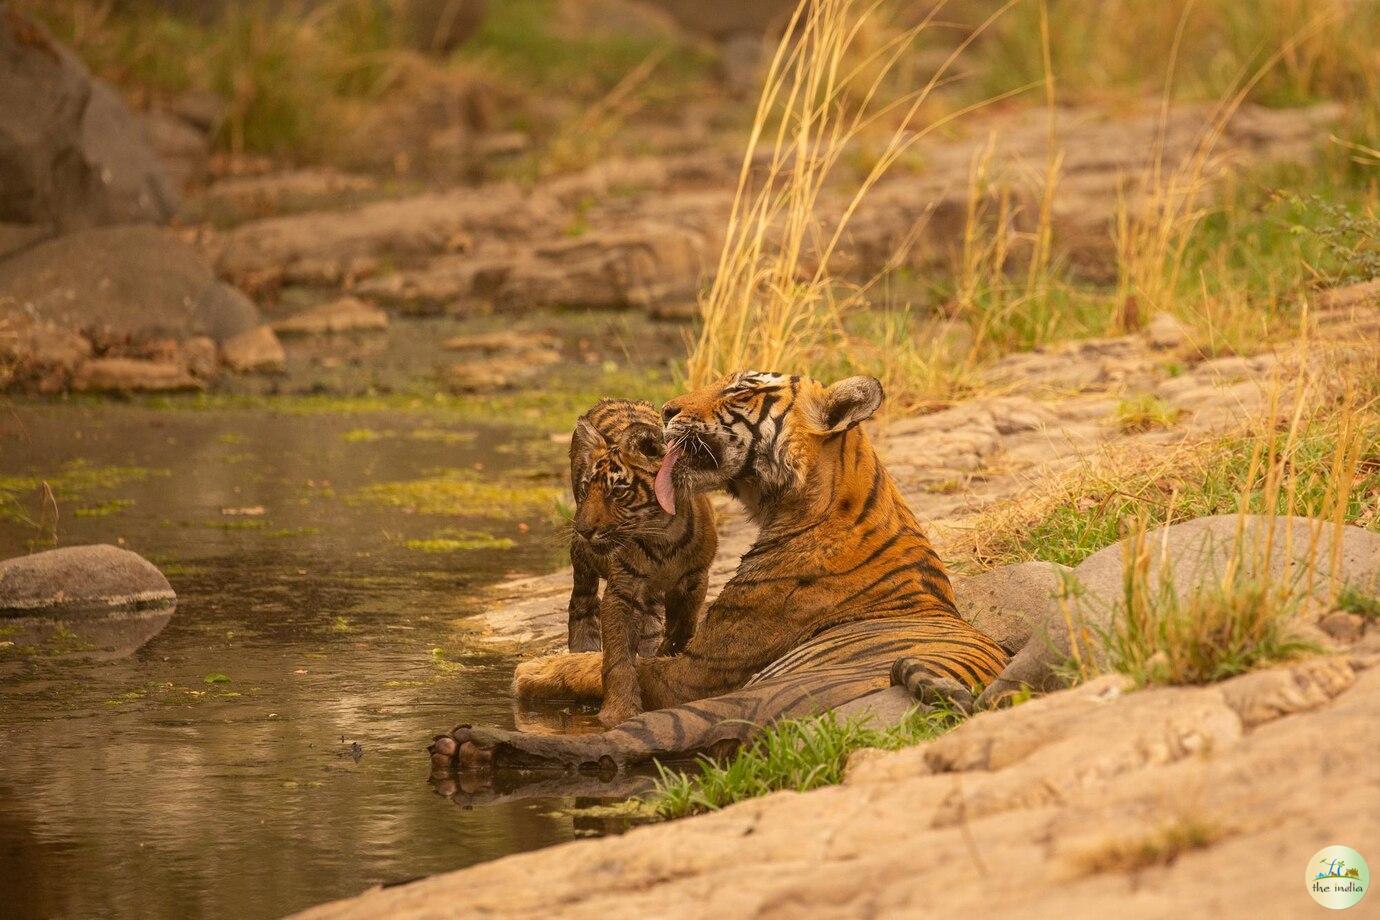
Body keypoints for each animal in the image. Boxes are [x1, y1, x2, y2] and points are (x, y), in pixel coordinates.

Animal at [436, 372, 1010, 772]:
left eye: (740, 390)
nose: (666, 408)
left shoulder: (696, 671)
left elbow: (595, 665)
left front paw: (531, 669)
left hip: (730, 701)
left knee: (611, 747)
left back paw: (467, 744)